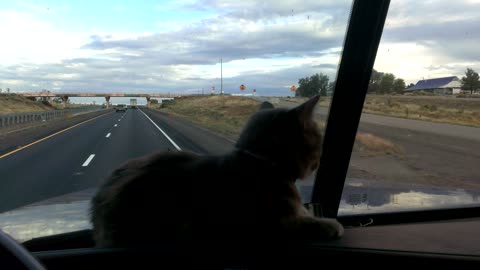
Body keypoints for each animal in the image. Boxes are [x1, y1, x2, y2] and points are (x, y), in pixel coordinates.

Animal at [90, 95, 344, 249]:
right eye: (318, 139)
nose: (318, 161)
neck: (261, 160)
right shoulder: (276, 223)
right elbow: (307, 222)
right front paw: (331, 224)